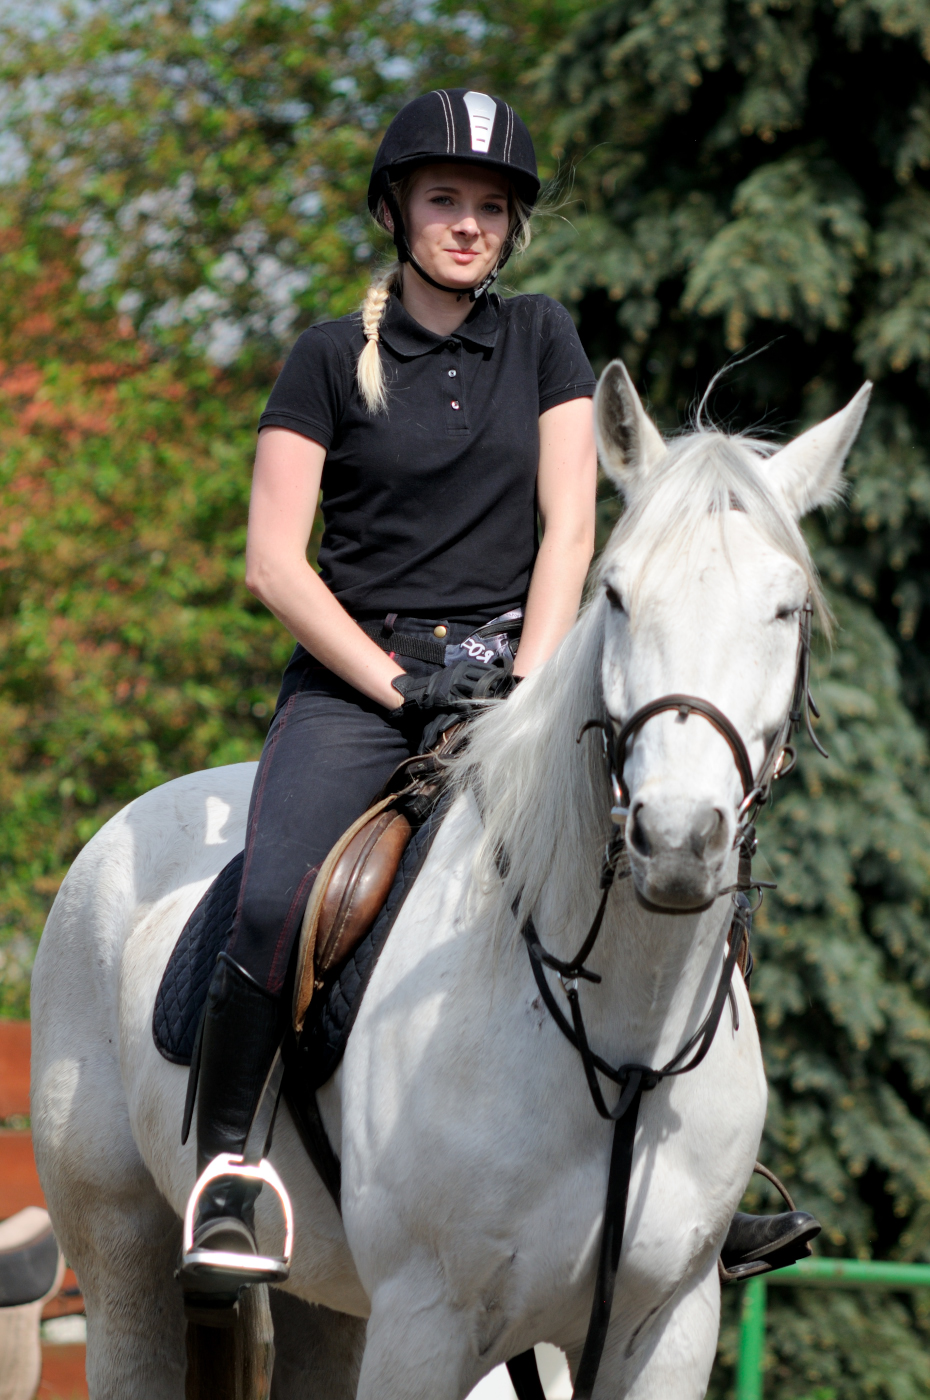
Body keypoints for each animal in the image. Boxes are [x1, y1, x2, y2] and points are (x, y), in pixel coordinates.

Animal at [30, 361, 870, 1400]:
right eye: (619, 596)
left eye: (788, 608)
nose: (677, 837)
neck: (618, 1049)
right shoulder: (426, 1330)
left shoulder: (666, 1331)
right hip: (123, 1263)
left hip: (324, 1302)